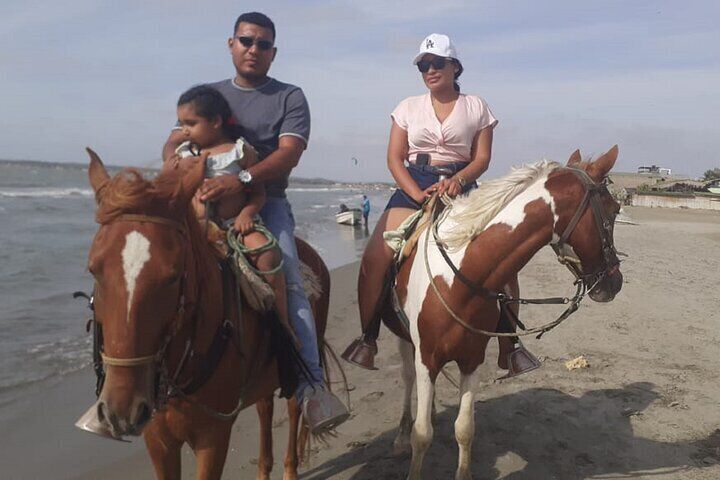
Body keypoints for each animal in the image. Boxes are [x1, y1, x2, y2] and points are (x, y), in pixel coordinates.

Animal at [82, 151, 330, 480]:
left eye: (173, 276)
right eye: (94, 269)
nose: (120, 411)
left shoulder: (213, 437)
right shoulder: (158, 440)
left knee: (294, 409)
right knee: (265, 408)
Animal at [382, 147, 624, 480]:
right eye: (613, 210)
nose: (616, 281)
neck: (461, 279)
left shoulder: (472, 359)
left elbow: (464, 428)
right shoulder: (427, 357)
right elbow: (422, 435)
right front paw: (412, 439)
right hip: (406, 341)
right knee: (408, 379)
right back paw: (400, 436)